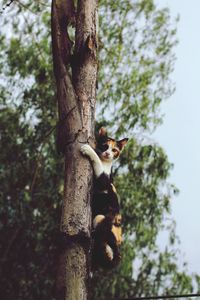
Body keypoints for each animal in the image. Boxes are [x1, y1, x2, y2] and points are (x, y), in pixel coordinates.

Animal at [80, 127, 128, 268]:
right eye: (104, 146)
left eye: (114, 150)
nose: (107, 153)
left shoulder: (104, 181)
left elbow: (98, 166)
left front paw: (88, 149)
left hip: (102, 219)